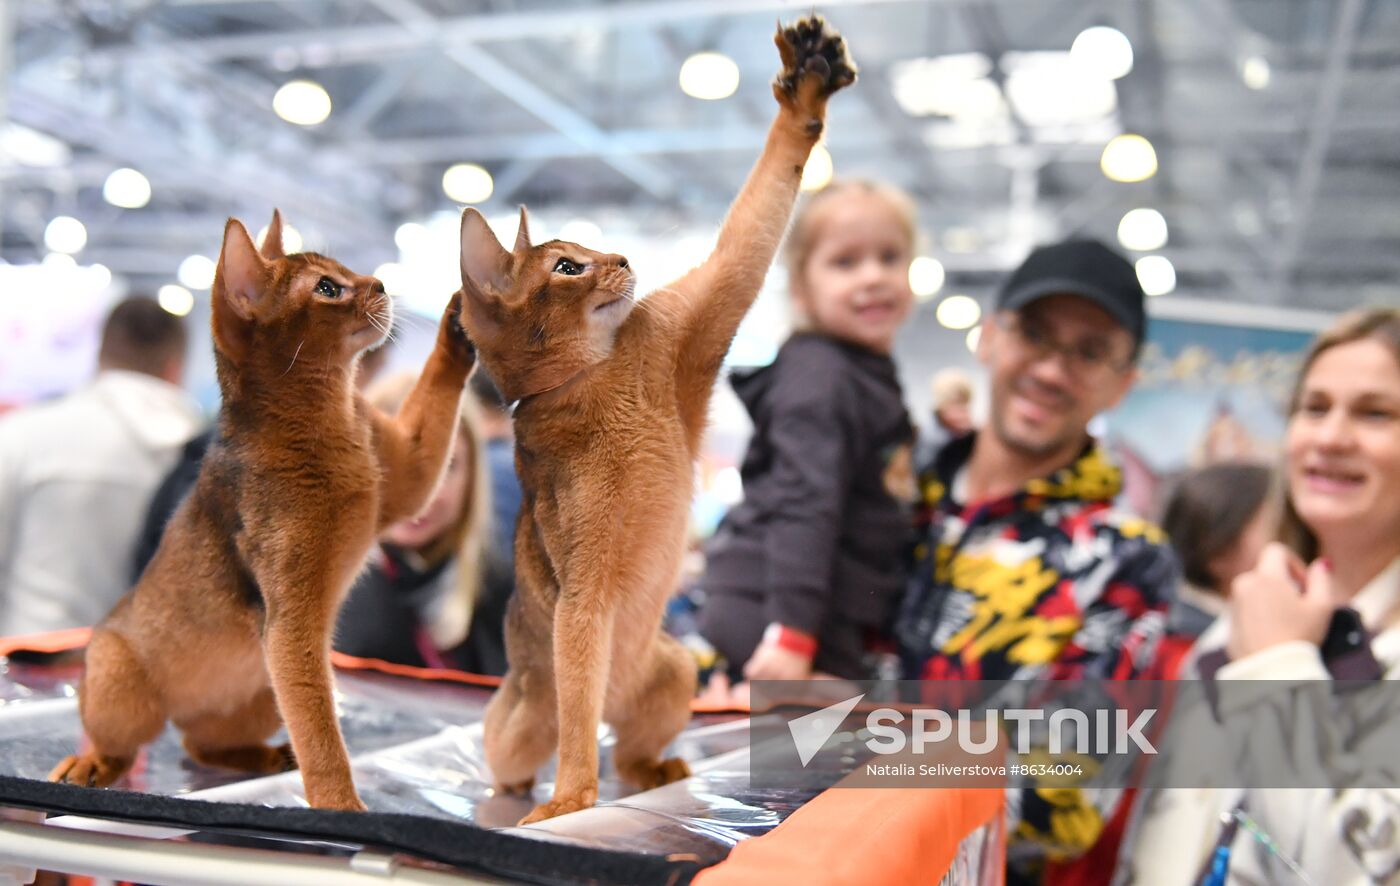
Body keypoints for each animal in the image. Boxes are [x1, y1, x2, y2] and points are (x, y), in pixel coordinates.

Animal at [50, 211, 476, 811]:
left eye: (347, 272)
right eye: (327, 288)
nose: (379, 284)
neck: (334, 420)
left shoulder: (408, 480)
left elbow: (434, 402)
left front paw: (461, 319)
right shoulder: (292, 624)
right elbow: (322, 733)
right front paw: (341, 807)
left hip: (260, 690)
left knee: (201, 743)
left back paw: (268, 756)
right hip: (119, 677)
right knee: (127, 743)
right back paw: (90, 764)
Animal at [459, 15, 851, 823]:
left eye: (587, 250)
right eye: (566, 267)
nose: (620, 255)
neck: (598, 374)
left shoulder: (691, 321)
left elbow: (756, 218)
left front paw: (807, 85)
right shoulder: (582, 590)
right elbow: (577, 691)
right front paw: (572, 798)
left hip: (673, 672)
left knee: (629, 743)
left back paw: (660, 768)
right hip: (525, 709)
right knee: (542, 732)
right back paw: (520, 787)